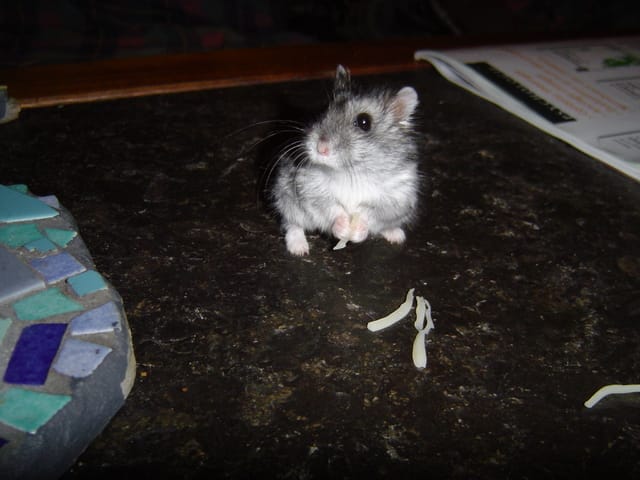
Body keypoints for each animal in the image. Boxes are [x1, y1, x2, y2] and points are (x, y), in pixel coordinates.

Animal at [272, 65, 420, 256]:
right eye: (325, 111)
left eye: (364, 122)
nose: (321, 148)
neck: (351, 171)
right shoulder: (310, 188)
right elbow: (330, 207)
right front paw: (343, 228)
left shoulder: (397, 196)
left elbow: (370, 213)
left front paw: (356, 232)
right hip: (287, 200)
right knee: (293, 224)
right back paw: (299, 249)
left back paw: (397, 236)